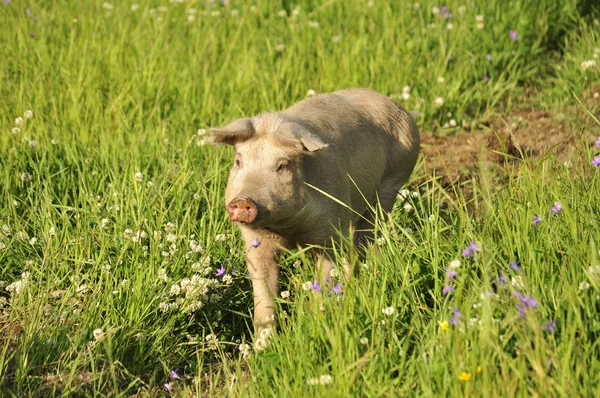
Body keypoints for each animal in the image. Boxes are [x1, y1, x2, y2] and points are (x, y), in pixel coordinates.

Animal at [213, 89, 420, 332]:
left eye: (282, 165)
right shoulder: (255, 242)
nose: (243, 200)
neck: (287, 227)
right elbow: (263, 301)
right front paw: (263, 342)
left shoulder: (329, 230)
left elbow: (324, 282)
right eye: (238, 162)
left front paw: (315, 327)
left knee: (361, 245)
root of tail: (398, 107)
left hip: (390, 185)